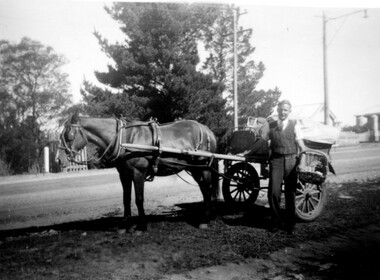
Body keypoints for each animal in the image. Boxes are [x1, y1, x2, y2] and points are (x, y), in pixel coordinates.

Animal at [55, 111, 218, 232]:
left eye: (69, 135)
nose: (59, 160)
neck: (124, 139)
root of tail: (207, 130)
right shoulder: (124, 175)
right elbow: (126, 199)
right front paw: (125, 224)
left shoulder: (138, 173)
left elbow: (139, 199)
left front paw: (141, 226)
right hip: (195, 169)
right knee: (205, 191)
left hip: (203, 168)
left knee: (207, 191)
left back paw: (204, 220)